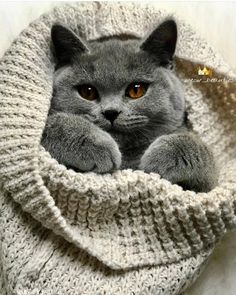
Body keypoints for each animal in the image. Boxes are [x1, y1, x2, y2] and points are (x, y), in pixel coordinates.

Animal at [41, 19, 218, 193]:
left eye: (136, 90)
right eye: (87, 92)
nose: (111, 112)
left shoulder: (210, 185)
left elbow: (198, 148)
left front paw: (158, 160)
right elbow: (53, 123)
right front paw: (97, 144)